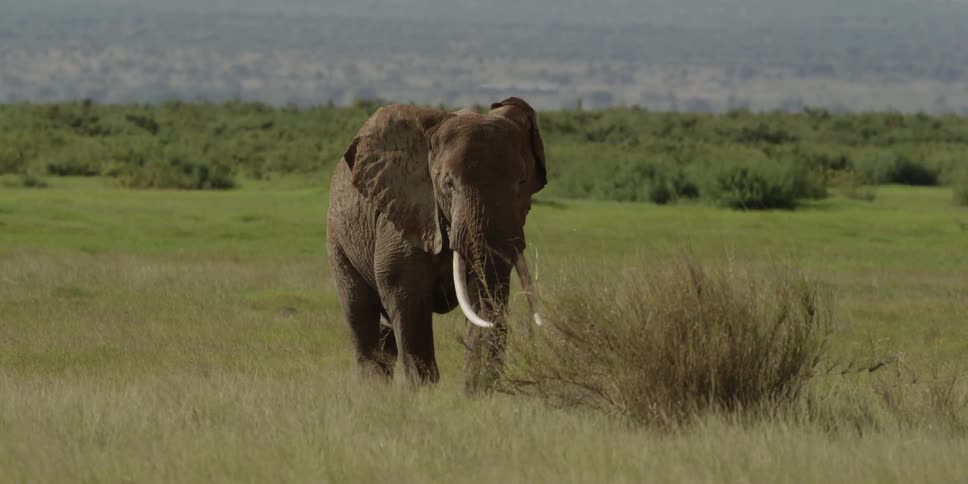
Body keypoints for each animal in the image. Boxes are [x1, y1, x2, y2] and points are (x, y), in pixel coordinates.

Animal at [326, 97, 546, 393]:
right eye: (448, 185)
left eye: (521, 183)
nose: (484, 389)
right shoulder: (405, 217)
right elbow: (408, 298)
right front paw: (422, 393)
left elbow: (484, 296)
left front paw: (474, 393)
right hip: (338, 239)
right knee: (359, 312)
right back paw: (372, 389)